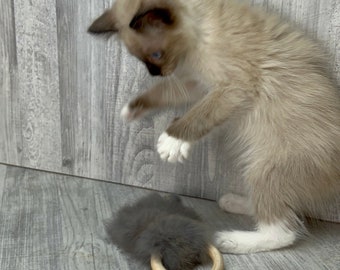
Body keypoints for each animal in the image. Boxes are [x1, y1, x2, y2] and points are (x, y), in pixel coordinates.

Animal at [88, 0, 340, 253]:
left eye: (156, 55)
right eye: (142, 59)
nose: (156, 73)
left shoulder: (234, 87)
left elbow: (199, 115)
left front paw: (172, 141)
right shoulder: (196, 84)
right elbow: (162, 94)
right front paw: (132, 109)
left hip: (264, 169)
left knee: (283, 231)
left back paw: (230, 240)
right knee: (281, 209)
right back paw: (234, 202)